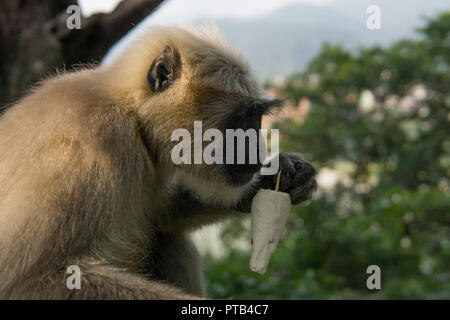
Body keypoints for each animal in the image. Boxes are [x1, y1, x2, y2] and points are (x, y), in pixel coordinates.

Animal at [0, 26, 316, 298]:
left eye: (256, 118)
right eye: (242, 120)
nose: (256, 148)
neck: (132, 114)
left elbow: (162, 214)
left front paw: (282, 176)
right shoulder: (86, 147)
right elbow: (30, 280)